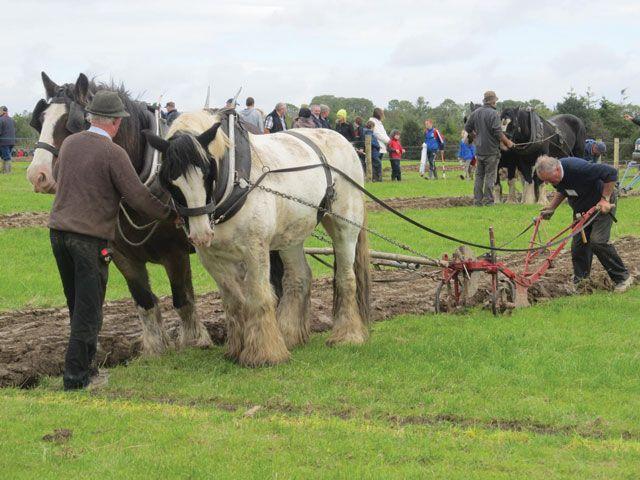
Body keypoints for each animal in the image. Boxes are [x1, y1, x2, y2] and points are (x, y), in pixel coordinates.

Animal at [143, 109, 371, 367]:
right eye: (169, 181)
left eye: (208, 172)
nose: (200, 233)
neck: (234, 182)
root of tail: (345, 142)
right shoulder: (211, 258)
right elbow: (234, 301)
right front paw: (237, 348)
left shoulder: (255, 248)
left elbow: (258, 296)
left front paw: (265, 353)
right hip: (291, 234)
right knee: (298, 277)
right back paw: (289, 334)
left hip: (345, 224)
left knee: (346, 277)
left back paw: (347, 335)